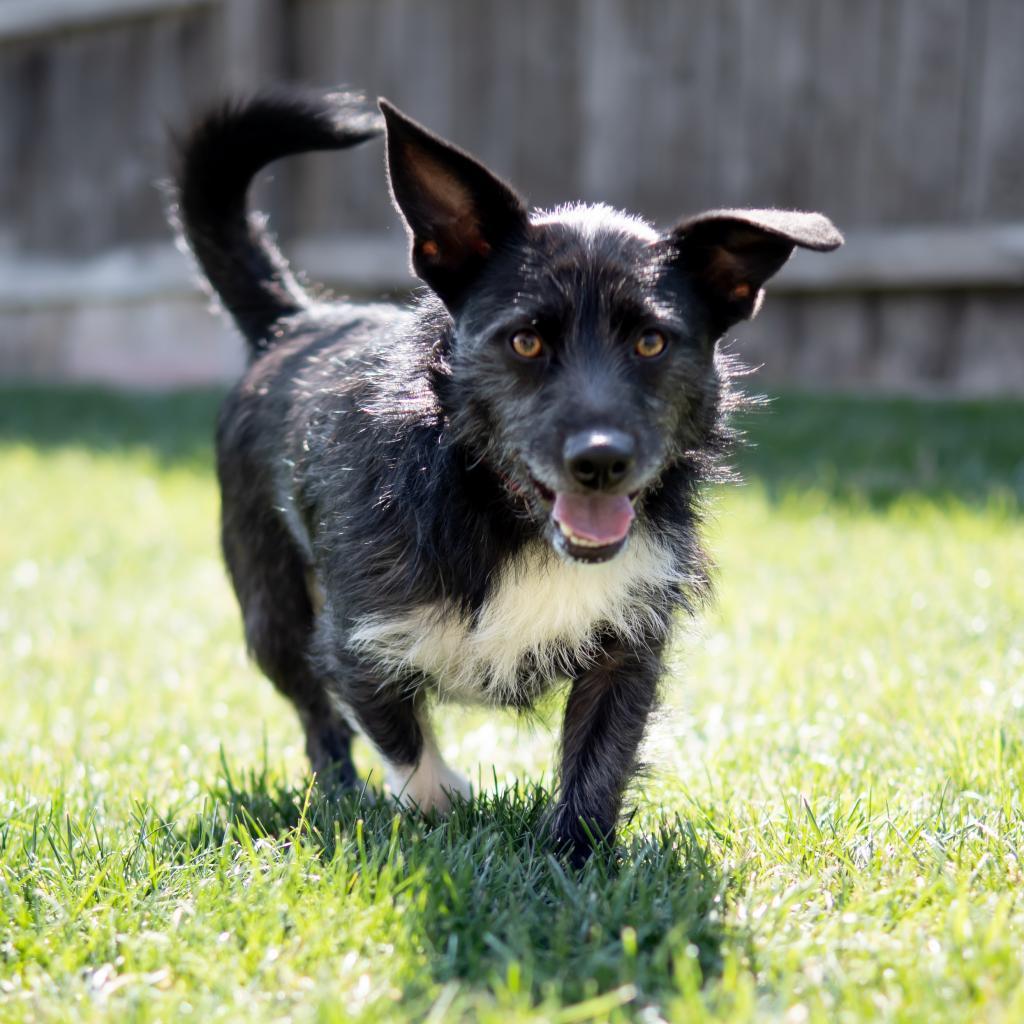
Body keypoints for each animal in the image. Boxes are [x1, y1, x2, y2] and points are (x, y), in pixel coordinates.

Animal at [172, 86, 843, 864]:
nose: (600, 460)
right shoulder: (355, 640)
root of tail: (295, 322)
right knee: (317, 715)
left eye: (651, 342)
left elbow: (599, 759)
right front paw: (440, 808)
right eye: (525, 341)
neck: (496, 507)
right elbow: (401, 737)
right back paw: (339, 791)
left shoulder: (627, 645)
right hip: (272, 613)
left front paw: (578, 861)